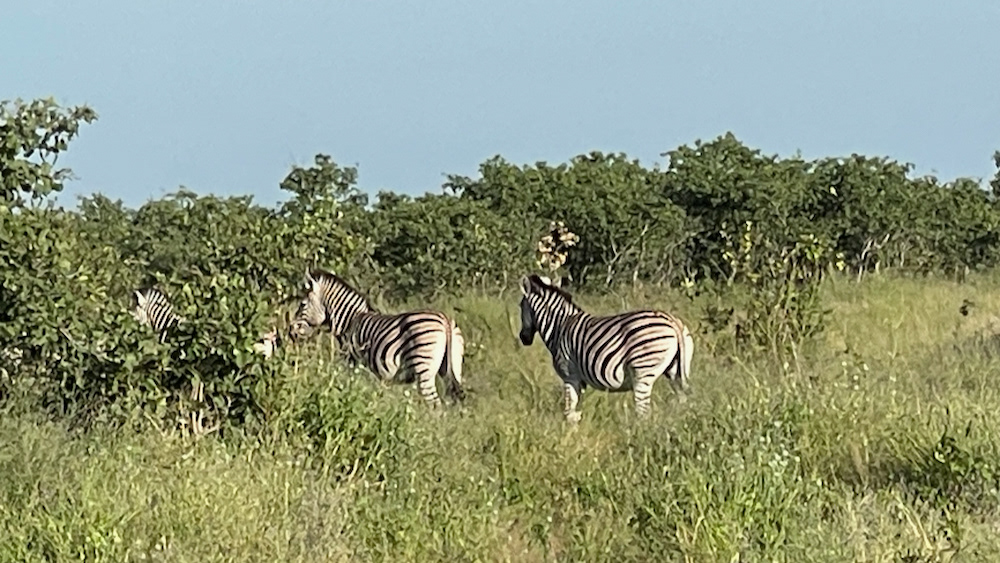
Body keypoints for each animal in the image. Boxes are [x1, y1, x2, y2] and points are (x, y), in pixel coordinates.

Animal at [289, 269, 465, 407]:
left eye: (302, 304)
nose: (291, 332)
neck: (350, 321)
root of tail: (445, 321)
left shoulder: (351, 360)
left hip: (424, 367)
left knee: (435, 405)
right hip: (451, 368)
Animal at [518, 274, 693, 423]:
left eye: (520, 306)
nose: (523, 338)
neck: (559, 326)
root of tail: (672, 321)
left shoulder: (570, 375)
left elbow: (569, 411)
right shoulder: (579, 380)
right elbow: (575, 412)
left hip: (643, 370)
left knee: (643, 412)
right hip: (674, 370)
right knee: (682, 401)